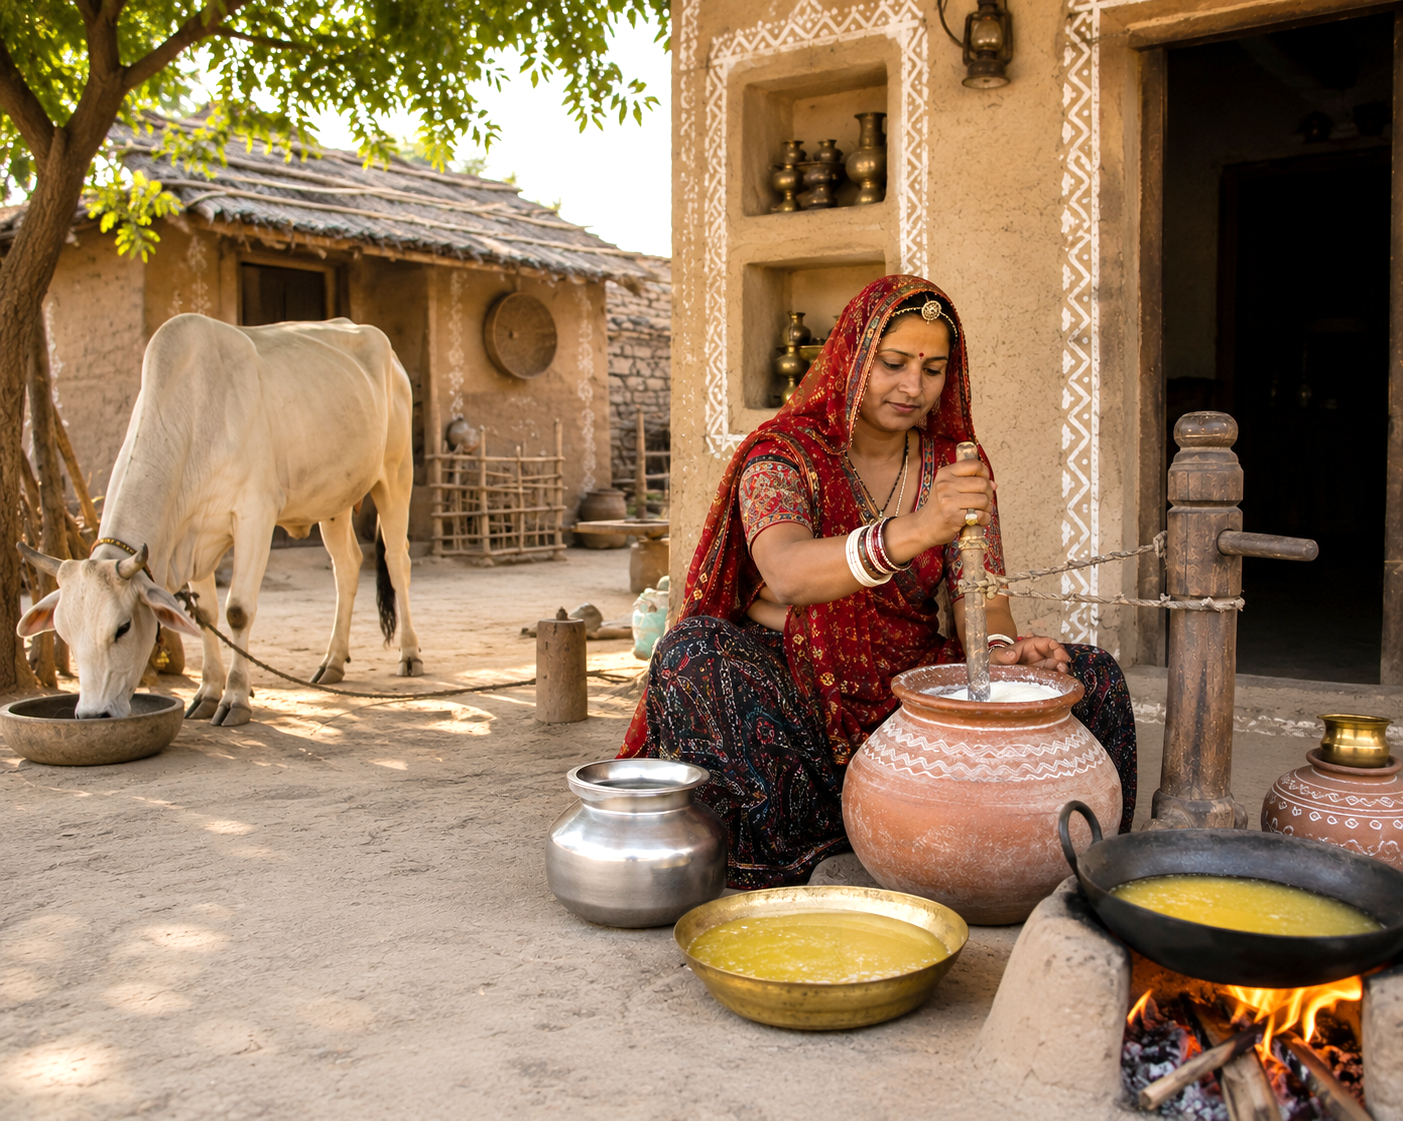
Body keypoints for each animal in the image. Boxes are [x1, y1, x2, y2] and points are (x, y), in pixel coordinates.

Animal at [17, 313, 423, 726]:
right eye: (64, 632)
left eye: (123, 628)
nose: (92, 714)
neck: (193, 418)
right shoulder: (196, 533)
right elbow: (205, 615)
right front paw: (208, 693)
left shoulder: (255, 515)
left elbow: (238, 612)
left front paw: (236, 699)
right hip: (333, 499)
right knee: (347, 566)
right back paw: (333, 662)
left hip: (395, 474)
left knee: (396, 560)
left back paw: (409, 654)